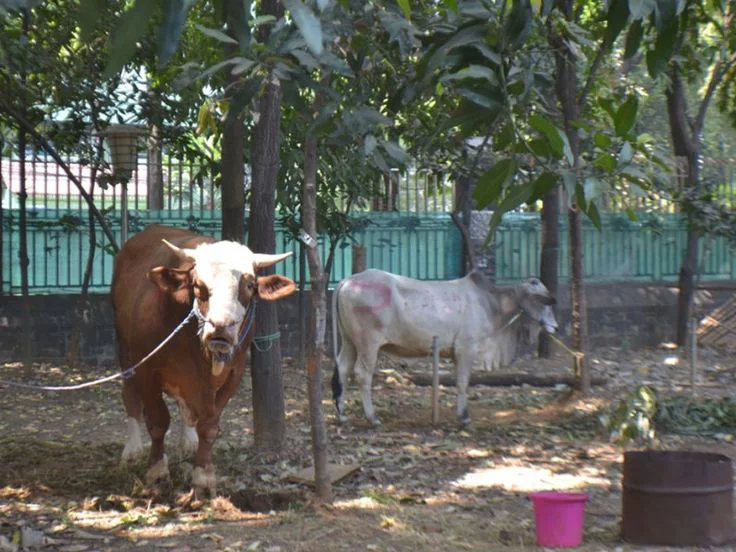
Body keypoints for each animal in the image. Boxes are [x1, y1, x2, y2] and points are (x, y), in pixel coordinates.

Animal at [110, 224, 294, 496]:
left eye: (249, 285)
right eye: (197, 285)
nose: (221, 327)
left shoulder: (234, 372)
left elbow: (209, 424)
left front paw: (203, 477)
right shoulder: (147, 368)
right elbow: (157, 421)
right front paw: (157, 472)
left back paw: (188, 440)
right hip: (125, 350)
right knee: (130, 395)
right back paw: (132, 450)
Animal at [330, 270, 556, 424]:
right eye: (542, 301)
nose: (555, 325)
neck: (489, 302)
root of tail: (347, 281)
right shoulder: (466, 348)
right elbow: (463, 382)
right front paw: (464, 417)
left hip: (350, 341)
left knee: (343, 368)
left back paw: (342, 415)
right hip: (368, 344)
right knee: (362, 374)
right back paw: (372, 417)